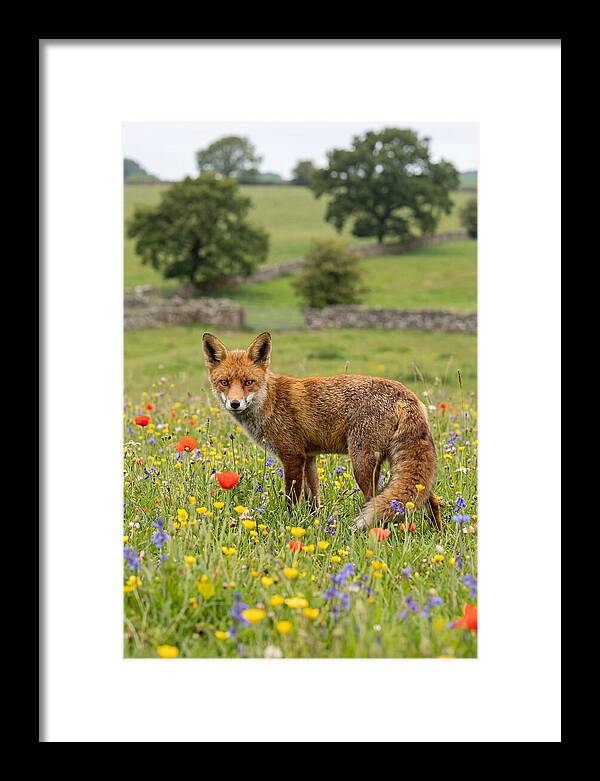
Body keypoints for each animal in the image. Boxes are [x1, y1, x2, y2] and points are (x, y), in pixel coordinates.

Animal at [202, 331, 442, 531]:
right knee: (429, 499)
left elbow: (292, 498)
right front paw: (314, 522)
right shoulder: (309, 457)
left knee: (375, 499)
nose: (235, 403)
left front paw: (289, 523)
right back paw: (436, 532)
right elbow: (314, 498)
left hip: (362, 463)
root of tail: (406, 393)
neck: (270, 401)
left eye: (248, 382)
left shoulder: (292, 456)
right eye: (224, 382)